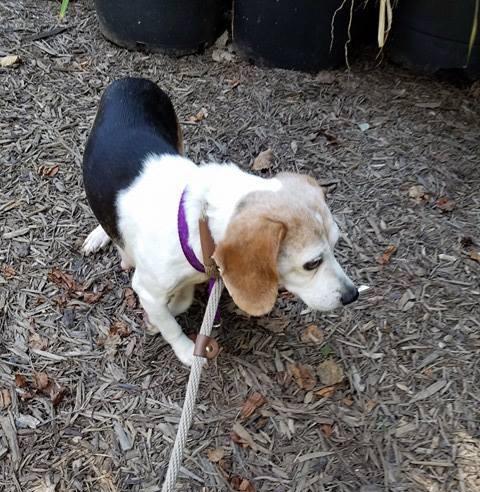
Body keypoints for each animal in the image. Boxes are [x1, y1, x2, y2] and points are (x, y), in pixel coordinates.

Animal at [83, 78, 356, 366]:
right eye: (311, 263)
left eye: (336, 244)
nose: (353, 295)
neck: (198, 219)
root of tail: (129, 80)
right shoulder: (147, 289)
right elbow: (170, 325)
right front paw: (184, 349)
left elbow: (181, 301)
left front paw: (169, 309)